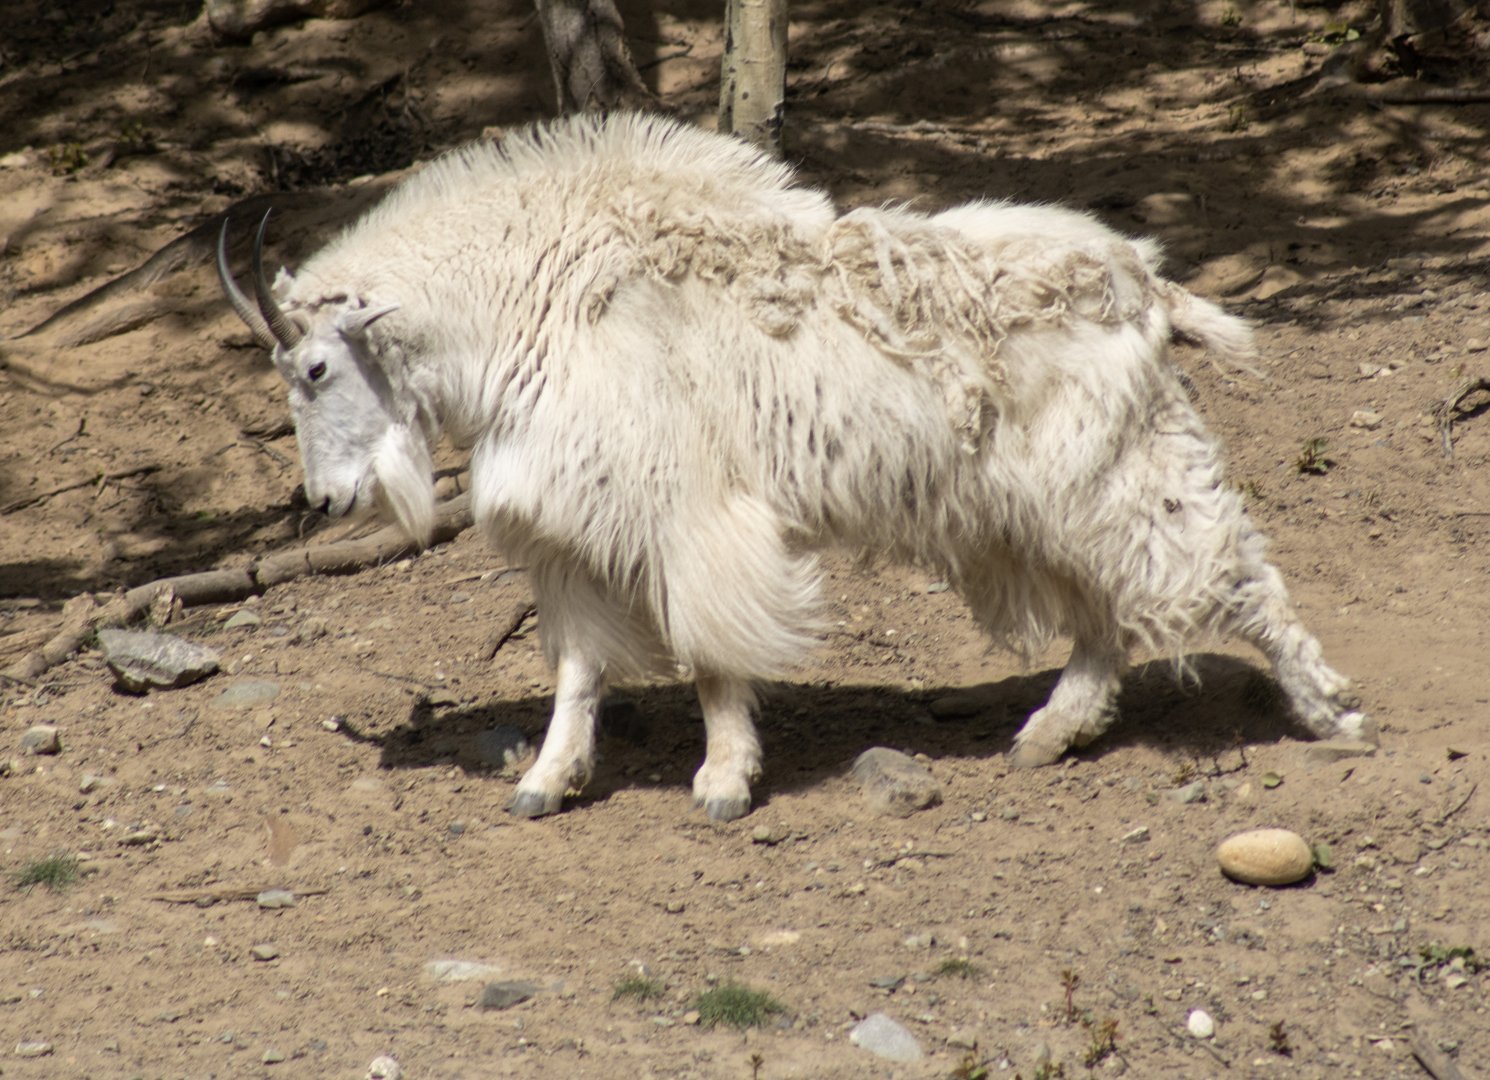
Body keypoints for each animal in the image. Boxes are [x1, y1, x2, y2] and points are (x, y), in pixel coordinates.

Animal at [218, 112, 1372, 821]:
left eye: (314, 366)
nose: (327, 497)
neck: (532, 298)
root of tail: (1145, 284)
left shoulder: (689, 516)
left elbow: (709, 653)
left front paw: (725, 781)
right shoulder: (573, 535)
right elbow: (579, 668)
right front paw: (546, 782)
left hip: (1120, 473)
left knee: (1232, 571)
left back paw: (1328, 712)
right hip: (1035, 504)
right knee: (1102, 615)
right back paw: (1047, 735)